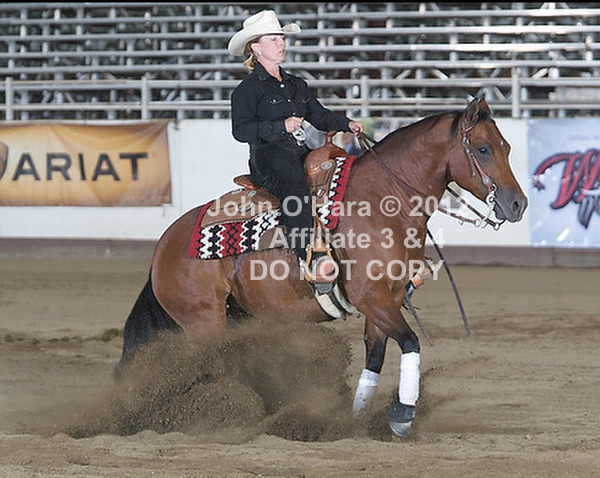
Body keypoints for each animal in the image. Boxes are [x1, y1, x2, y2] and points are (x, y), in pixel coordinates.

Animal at [117, 98, 528, 437]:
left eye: (507, 147)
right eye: (483, 148)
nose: (518, 204)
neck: (382, 200)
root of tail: (164, 246)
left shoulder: (387, 301)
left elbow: (375, 359)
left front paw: (354, 422)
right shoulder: (371, 297)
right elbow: (411, 342)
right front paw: (402, 415)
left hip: (236, 317)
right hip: (204, 322)